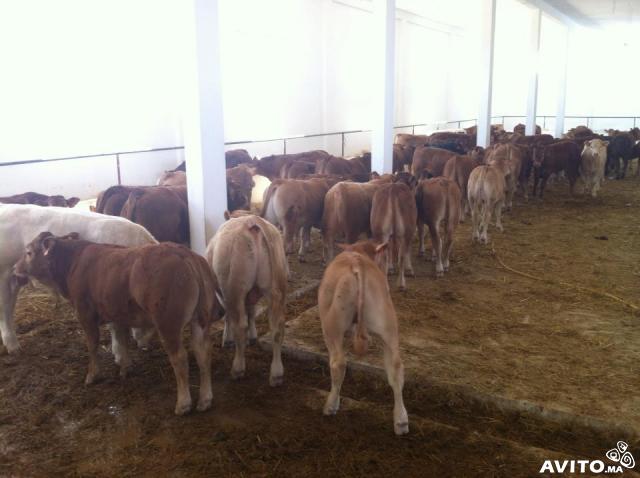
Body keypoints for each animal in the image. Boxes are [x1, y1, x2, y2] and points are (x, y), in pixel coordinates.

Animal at [205, 215, 288, 386]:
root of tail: (251, 220)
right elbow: (251, 311)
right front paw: (253, 336)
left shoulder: (223, 293)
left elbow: (228, 316)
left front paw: (227, 340)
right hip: (277, 287)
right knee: (277, 328)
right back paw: (276, 374)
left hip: (234, 287)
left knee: (240, 326)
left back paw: (238, 368)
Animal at [318, 241, 408, 436]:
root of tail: (357, 264)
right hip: (388, 325)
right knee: (396, 368)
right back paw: (401, 421)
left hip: (332, 326)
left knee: (338, 363)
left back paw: (331, 405)